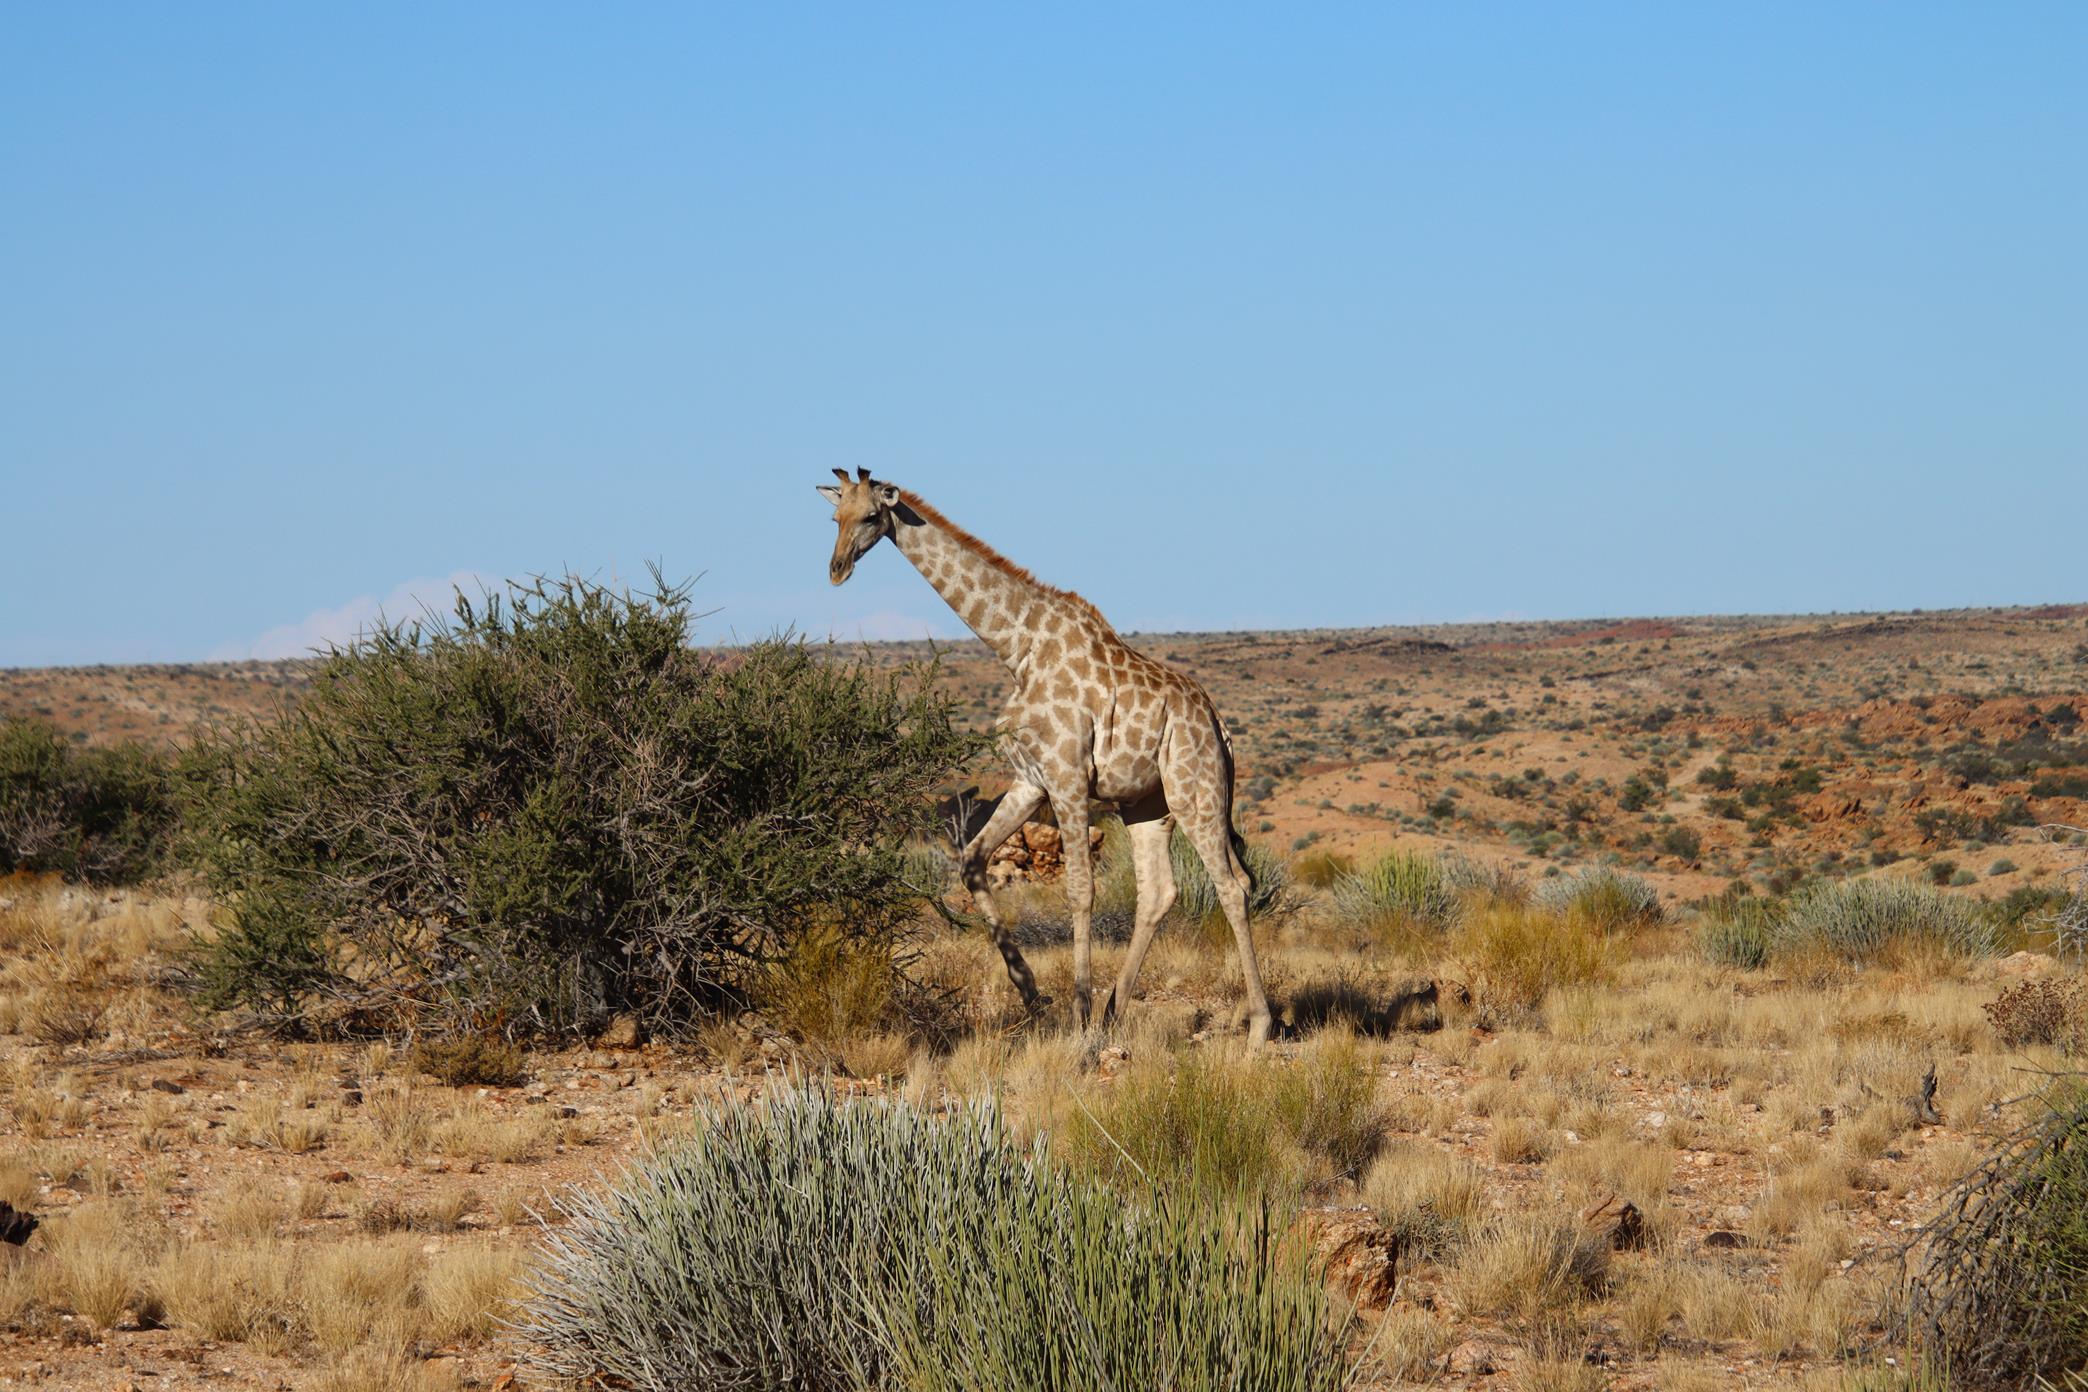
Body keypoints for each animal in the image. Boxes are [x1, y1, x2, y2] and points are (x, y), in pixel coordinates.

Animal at [817, 468, 1275, 1045]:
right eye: (835, 517)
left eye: (872, 516)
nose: (836, 570)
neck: (1017, 648)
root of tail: (1219, 725)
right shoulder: (1031, 779)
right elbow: (972, 863)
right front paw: (1035, 996)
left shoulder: (1068, 775)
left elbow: (1080, 890)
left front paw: (1077, 1015)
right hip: (1147, 805)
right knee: (1160, 892)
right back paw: (1114, 1010)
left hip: (1197, 791)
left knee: (1232, 887)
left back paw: (1258, 1026)